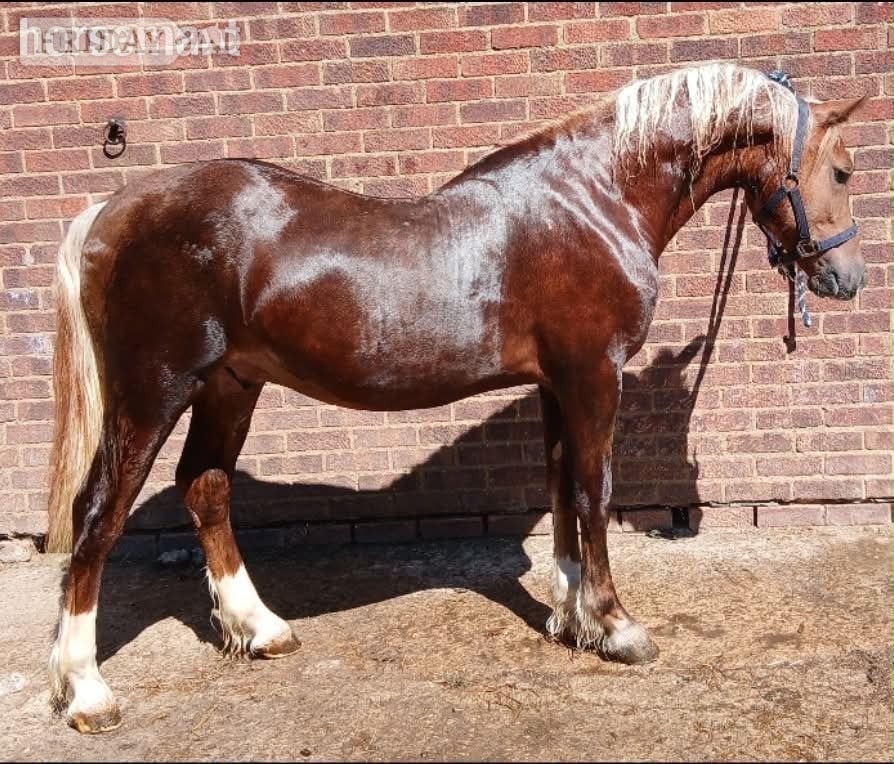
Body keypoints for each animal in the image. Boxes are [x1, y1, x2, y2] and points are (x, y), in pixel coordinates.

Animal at [44, 62, 866, 733]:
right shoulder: (594, 376)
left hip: (230, 387)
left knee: (206, 488)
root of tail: (111, 211)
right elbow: (595, 492)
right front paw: (616, 626)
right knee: (99, 515)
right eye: (844, 170)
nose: (846, 278)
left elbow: (561, 489)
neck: (595, 198)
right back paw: (87, 692)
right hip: (152, 392)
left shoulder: (557, 383)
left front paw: (569, 617)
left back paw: (262, 628)